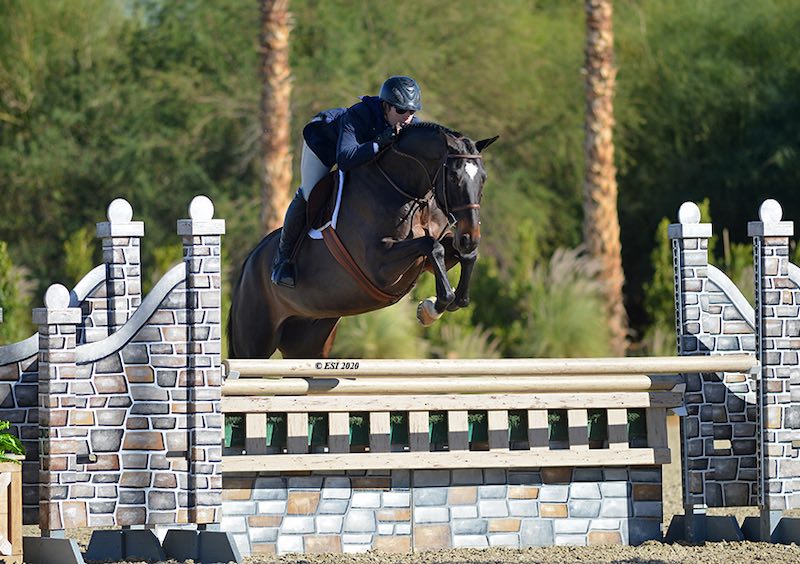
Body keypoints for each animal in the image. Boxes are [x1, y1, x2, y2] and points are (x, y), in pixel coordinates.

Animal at [228, 124, 496, 362]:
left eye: (483, 178)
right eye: (453, 176)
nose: (469, 237)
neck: (406, 192)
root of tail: (249, 261)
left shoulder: (429, 259)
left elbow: (460, 256)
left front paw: (452, 300)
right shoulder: (380, 266)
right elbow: (432, 246)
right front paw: (431, 309)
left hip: (308, 340)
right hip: (253, 343)